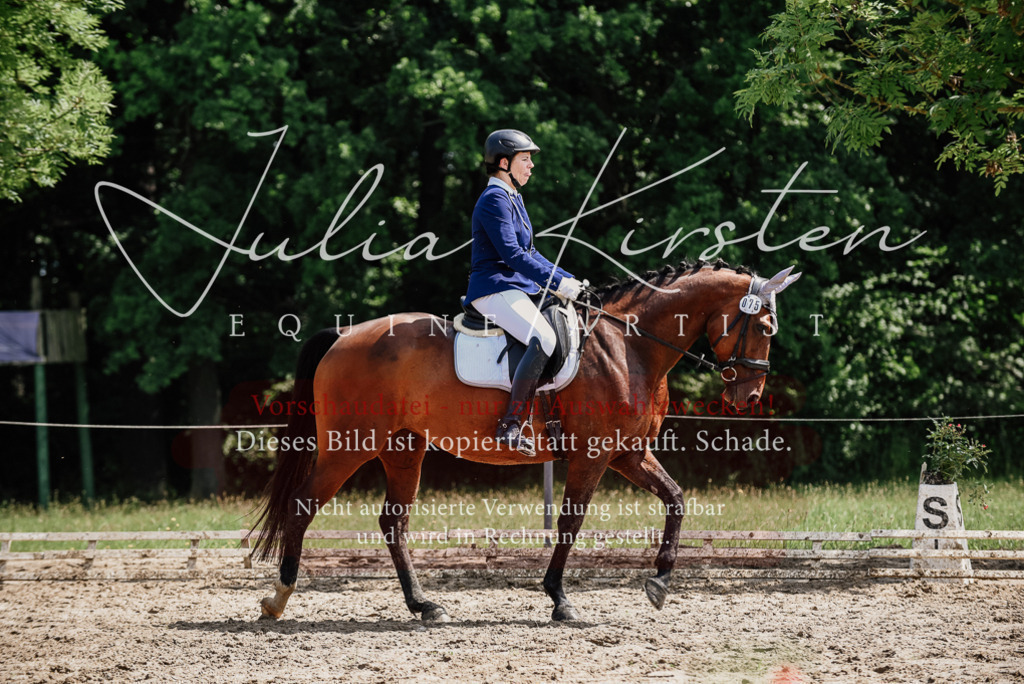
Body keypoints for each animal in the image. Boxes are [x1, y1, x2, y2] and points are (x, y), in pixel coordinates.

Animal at [251, 260, 801, 622]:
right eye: (766, 325)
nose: (750, 395)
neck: (630, 345)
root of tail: (343, 337)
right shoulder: (594, 456)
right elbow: (570, 523)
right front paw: (560, 599)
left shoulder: (628, 454)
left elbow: (676, 499)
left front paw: (660, 583)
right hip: (349, 445)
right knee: (303, 506)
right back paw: (278, 599)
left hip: (403, 449)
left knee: (393, 523)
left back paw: (424, 606)